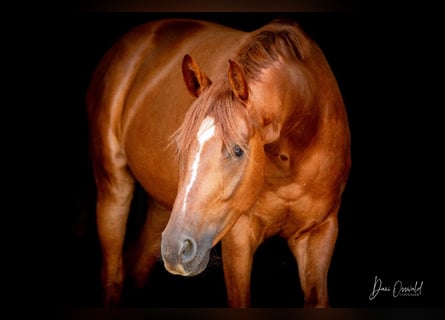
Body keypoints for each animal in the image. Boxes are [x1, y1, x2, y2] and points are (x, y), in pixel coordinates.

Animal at [87, 17, 350, 308]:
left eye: (237, 151)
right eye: (179, 146)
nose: (176, 249)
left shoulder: (320, 233)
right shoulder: (238, 238)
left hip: (162, 211)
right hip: (114, 191)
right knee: (113, 275)